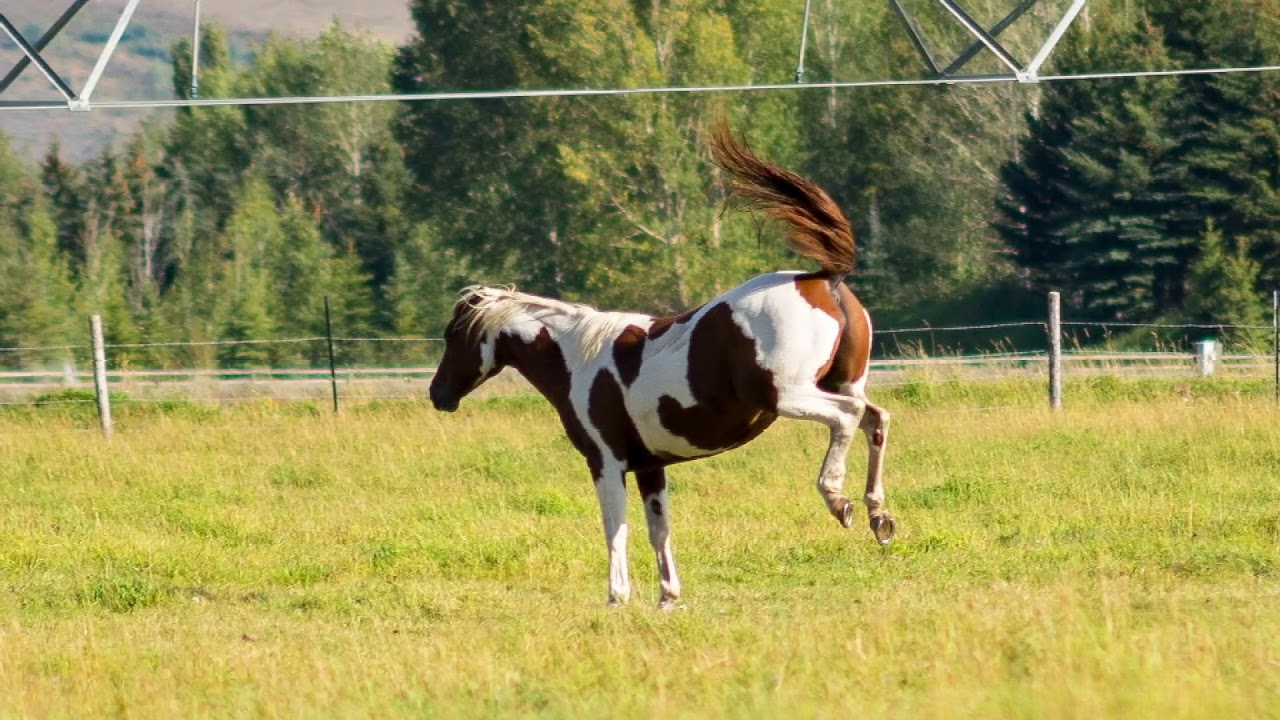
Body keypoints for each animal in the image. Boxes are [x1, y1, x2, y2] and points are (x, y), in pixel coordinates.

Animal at [429, 123, 894, 608]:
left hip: (791, 395)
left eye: (451, 336)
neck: (578, 356)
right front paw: (668, 597)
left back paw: (838, 498)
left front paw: (617, 598)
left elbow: (615, 529)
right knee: (876, 419)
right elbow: (659, 529)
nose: (437, 394)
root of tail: (824, 279)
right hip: (842, 383)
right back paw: (878, 514)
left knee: (848, 417)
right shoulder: (650, 466)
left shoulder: (605, 461)